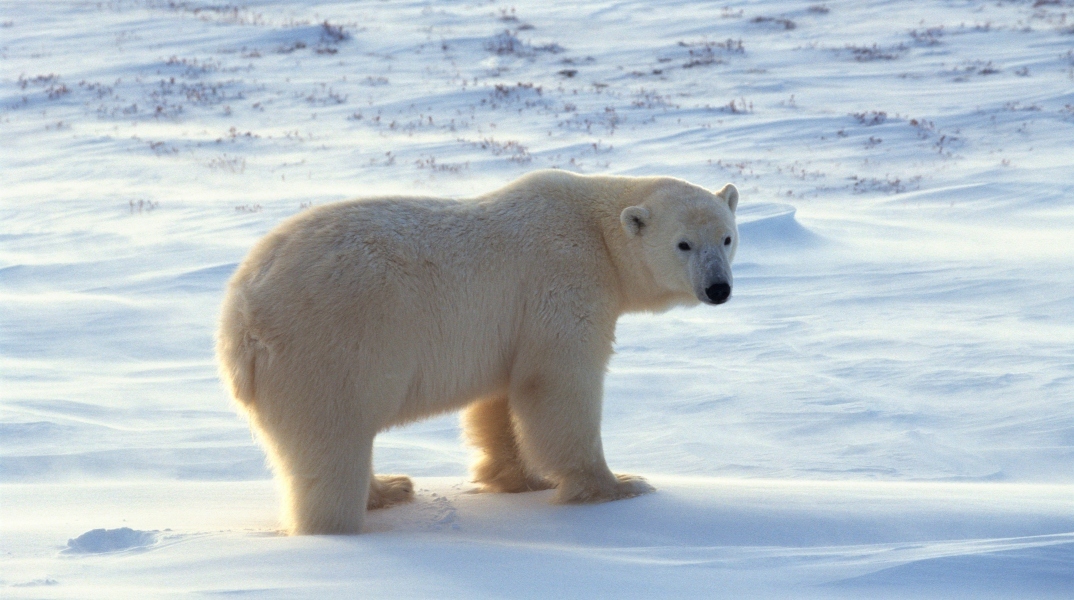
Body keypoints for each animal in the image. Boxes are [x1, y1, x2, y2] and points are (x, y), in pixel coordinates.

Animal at [218, 170, 738, 534]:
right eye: (683, 244)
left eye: (727, 238)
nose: (719, 288)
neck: (596, 231)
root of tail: (240, 316)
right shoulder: (563, 280)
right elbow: (559, 383)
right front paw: (619, 486)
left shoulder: (512, 324)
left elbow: (501, 399)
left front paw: (519, 478)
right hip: (330, 345)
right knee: (332, 443)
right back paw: (345, 522)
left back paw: (390, 487)